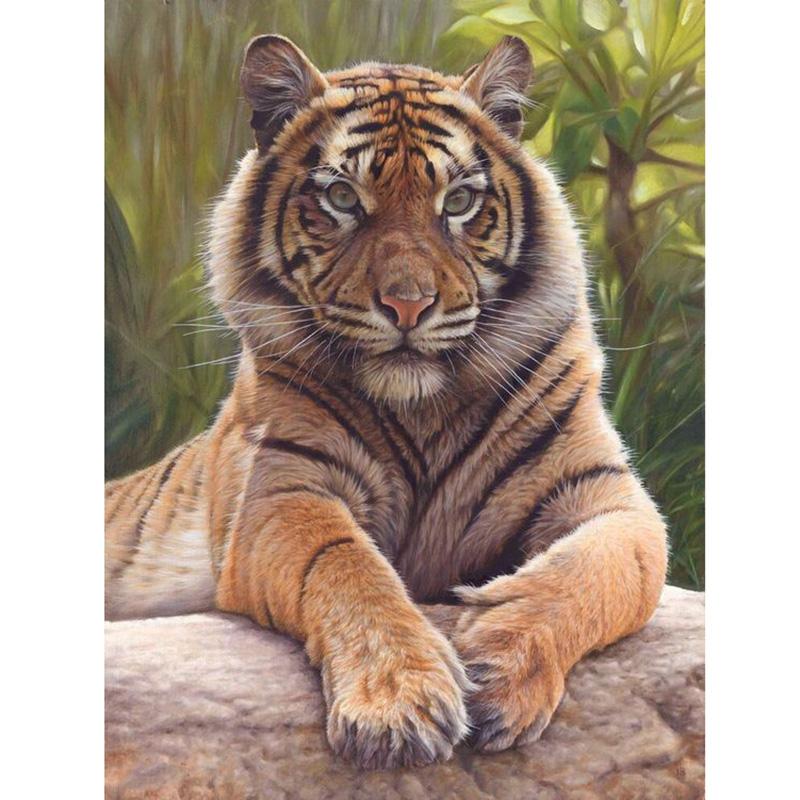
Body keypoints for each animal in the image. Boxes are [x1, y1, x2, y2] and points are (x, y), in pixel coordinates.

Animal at [105, 34, 668, 770]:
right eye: (343, 197)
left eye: (458, 202)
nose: (408, 304)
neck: (424, 409)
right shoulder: (283, 491)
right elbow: (347, 566)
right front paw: (399, 705)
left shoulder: (609, 496)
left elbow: (597, 568)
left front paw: (499, 668)